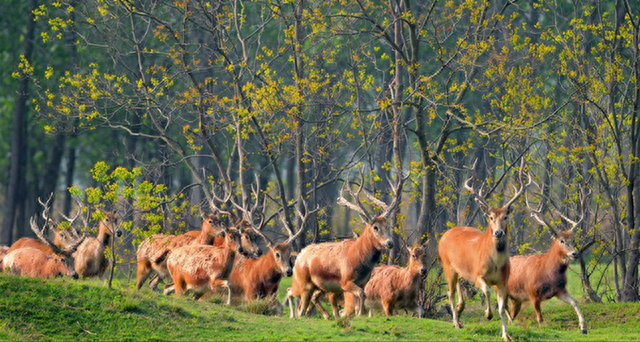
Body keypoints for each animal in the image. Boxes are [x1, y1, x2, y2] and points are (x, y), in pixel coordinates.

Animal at [290, 170, 404, 318]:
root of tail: (298, 256)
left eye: (387, 225)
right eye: (375, 227)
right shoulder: (345, 282)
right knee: (301, 309)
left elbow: (362, 296)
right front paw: (359, 314)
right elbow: (361, 295)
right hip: (304, 282)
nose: (390, 242)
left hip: (318, 287)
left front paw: (358, 314)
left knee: (309, 303)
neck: (357, 261)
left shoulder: (363, 282)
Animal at [438, 161, 532, 342]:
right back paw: (456, 322)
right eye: (490, 217)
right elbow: (487, 291)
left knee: (459, 287)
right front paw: (488, 314)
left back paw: (460, 309)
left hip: (460, 270)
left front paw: (506, 335)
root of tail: (443, 236)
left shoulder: (503, 281)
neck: (495, 264)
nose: (498, 232)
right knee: (449, 293)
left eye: (505, 217)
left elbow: (502, 307)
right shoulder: (477, 274)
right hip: (447, 266)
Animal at [508, 183, 592, 332]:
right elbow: (540, 319)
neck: (547, 274)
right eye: (562, 240)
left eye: (572, 239)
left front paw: (583, 327)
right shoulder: (533, 293)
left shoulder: (560, 290)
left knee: (511, 314)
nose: (575, 253)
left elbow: (575, 302)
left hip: (516, 299)